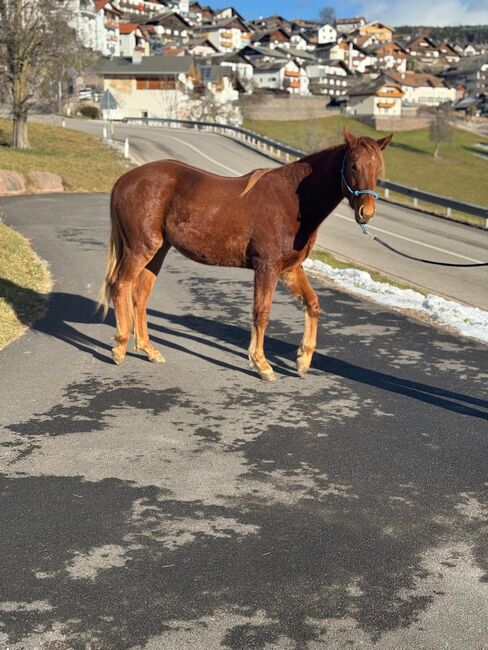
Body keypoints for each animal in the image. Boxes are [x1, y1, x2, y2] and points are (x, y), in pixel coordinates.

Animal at [99, 127, 392, 380]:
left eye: (378, 168)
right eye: (353, 165)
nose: (366, 212)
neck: (292, 200)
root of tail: (125, 180)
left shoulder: (289, 269)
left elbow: (313, 304)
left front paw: (303, 360)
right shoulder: (267, 267)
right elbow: (261, 312)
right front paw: (261, 364)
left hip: (158, 250)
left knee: (140, 294)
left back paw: (149, 350)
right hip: (140, 249)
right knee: (120, 285)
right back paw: (120, 347)